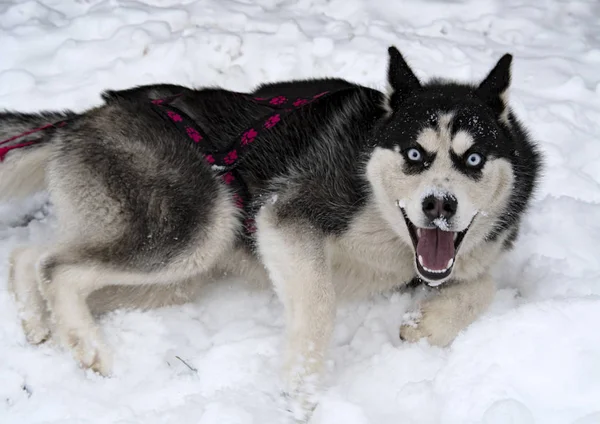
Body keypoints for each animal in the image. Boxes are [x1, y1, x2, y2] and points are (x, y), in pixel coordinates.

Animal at [2, 46, 540, 418]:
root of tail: (83, 117)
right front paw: (302, 394)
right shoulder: (285, 217)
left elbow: (484, 286)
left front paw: (429, 324)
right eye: (415, 155)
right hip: (197, 227)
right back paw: (88, 347)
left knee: (31, 256)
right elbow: (319, 304)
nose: (439, 205)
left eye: (473, 159)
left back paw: (40, 323)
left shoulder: (456, 260)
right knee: (58, 266)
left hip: (176, 273)